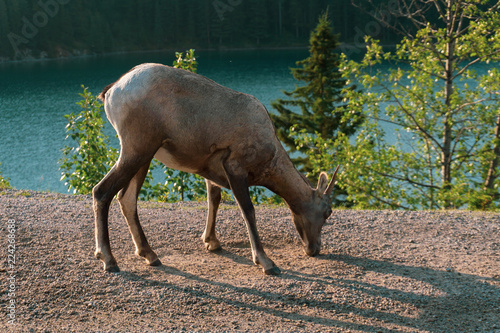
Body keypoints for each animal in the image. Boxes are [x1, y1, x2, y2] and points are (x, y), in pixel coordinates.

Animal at [93, 63, 340, 274]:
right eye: (327, 212)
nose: (314, 249)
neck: (270, 155)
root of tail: (112, 91)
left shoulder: (210, 171)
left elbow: (214, 199)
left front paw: (212, 242)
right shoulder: (235, 167)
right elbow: (248, 210)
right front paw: (266, 262)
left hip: (144, 155)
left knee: (126, 198)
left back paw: (149, 255)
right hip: (137, 148)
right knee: (101, 191)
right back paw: (109, 260)